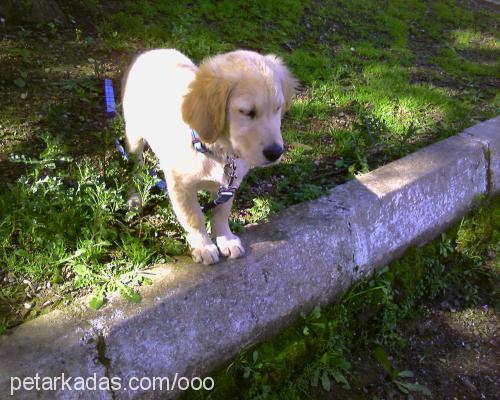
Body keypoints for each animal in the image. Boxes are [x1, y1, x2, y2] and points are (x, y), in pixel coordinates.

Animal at [122, 48, 296, 264]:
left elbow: (220, 213)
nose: (275, 153)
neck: (217, 150)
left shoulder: (230, 184)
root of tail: (152, 51)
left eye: (278, 108)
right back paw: (134, 197)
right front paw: (203, 245)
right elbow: (193, 217)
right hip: (134, 135)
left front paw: (226, 239)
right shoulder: (180, 186)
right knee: (134, 166)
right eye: (246, 112)